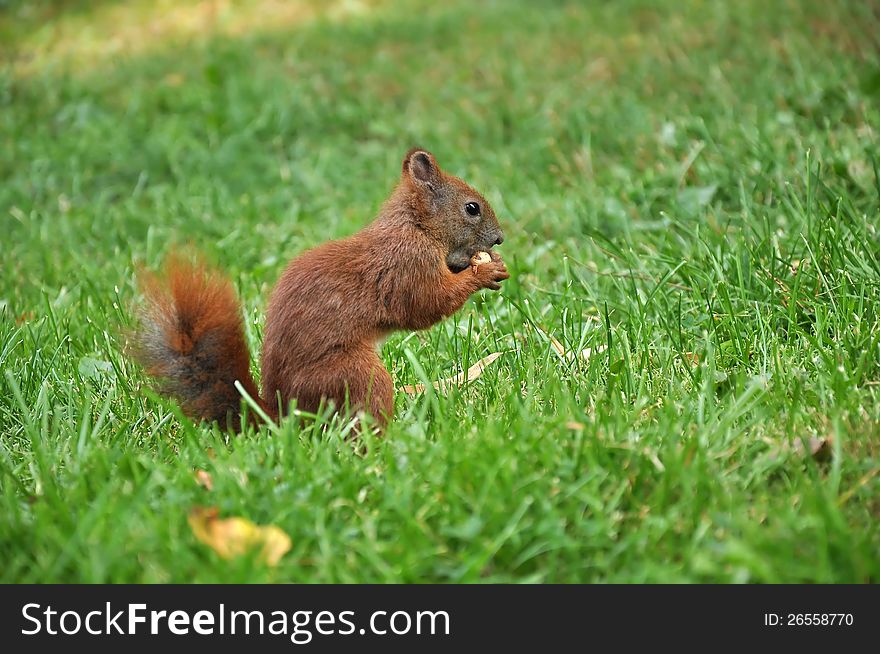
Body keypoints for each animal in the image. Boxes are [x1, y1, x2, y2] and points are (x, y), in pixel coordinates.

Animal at [135, 151, 512, 434]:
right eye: (472, 208)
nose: (499, 239)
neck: (415, 227)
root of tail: (283, 414)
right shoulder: (406, 267)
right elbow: (426, 305)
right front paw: (484, 272)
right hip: (352, 375)